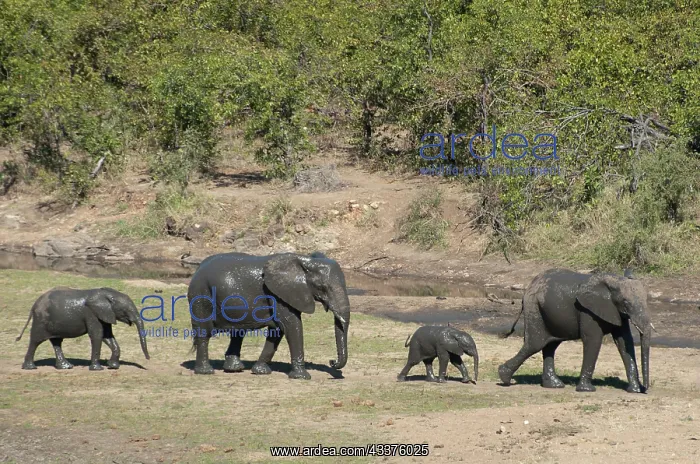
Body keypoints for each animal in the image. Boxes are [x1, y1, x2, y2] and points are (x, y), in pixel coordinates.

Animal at [16, 287, 150, 370]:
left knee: (57, 341)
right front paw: (97, 369)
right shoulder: (91, 314)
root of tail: (34, 305)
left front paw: (113, 366)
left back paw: (66, 367)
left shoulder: (104, 314)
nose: (148, 359)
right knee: (36, 340)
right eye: (125, 310)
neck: (106, 294)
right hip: (41, 320)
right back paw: (30, 367)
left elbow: (107, 336)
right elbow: (97, 335)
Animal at [187, 251, 350, 379]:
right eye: (323, 287)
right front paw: (302, 377)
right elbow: (292, 325)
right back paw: (206, 371)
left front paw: (260, 371)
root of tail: (198, 268)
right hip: (201, 295)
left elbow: (278, 330)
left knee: (238, 333)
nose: (332, 362)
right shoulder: (276, 293)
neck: (304, 261)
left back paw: (234, 369)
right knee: (204, 332)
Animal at [498, 269, 653, 393]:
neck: (613, 281)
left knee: (550, 345)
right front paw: (587, 390)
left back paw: (554, 385)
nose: (645, 389)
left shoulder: (616, 312)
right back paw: (504, 377)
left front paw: (634, 390)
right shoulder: (587, 310)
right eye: (626, 303)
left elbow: (625, 342)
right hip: (534, 307)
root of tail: (529, 286)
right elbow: (594, 340)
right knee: (535, 344)